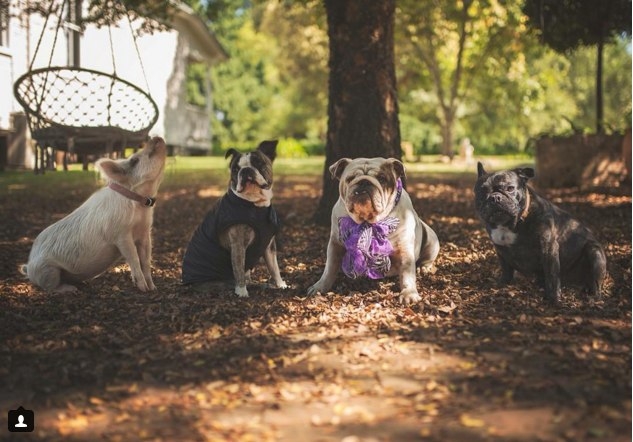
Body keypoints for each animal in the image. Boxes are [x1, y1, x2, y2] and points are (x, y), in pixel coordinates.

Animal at [21, 136, 167, 292]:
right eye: (134, 160)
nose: (157, 137)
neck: (140, 206)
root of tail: (29, 267)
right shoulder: (120, 234)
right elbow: (133, 259)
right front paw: (143, 289)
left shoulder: (145, 232)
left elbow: (146, 260)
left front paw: (153, 288)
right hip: (47, 270)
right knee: (49, 287)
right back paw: (71, 289)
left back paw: (83, 283)